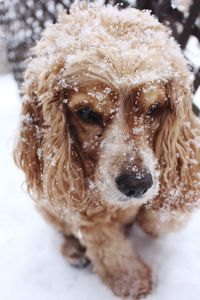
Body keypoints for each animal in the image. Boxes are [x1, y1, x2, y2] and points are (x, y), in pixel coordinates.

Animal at [14, 1, 200, 298]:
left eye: (154, 108)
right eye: (87, 113)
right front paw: (132, 281)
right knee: (64, 230)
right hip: (47, 208)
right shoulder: (84, 206)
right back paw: (74, 251)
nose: (137, 184)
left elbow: (161, 214)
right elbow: (106, 243)